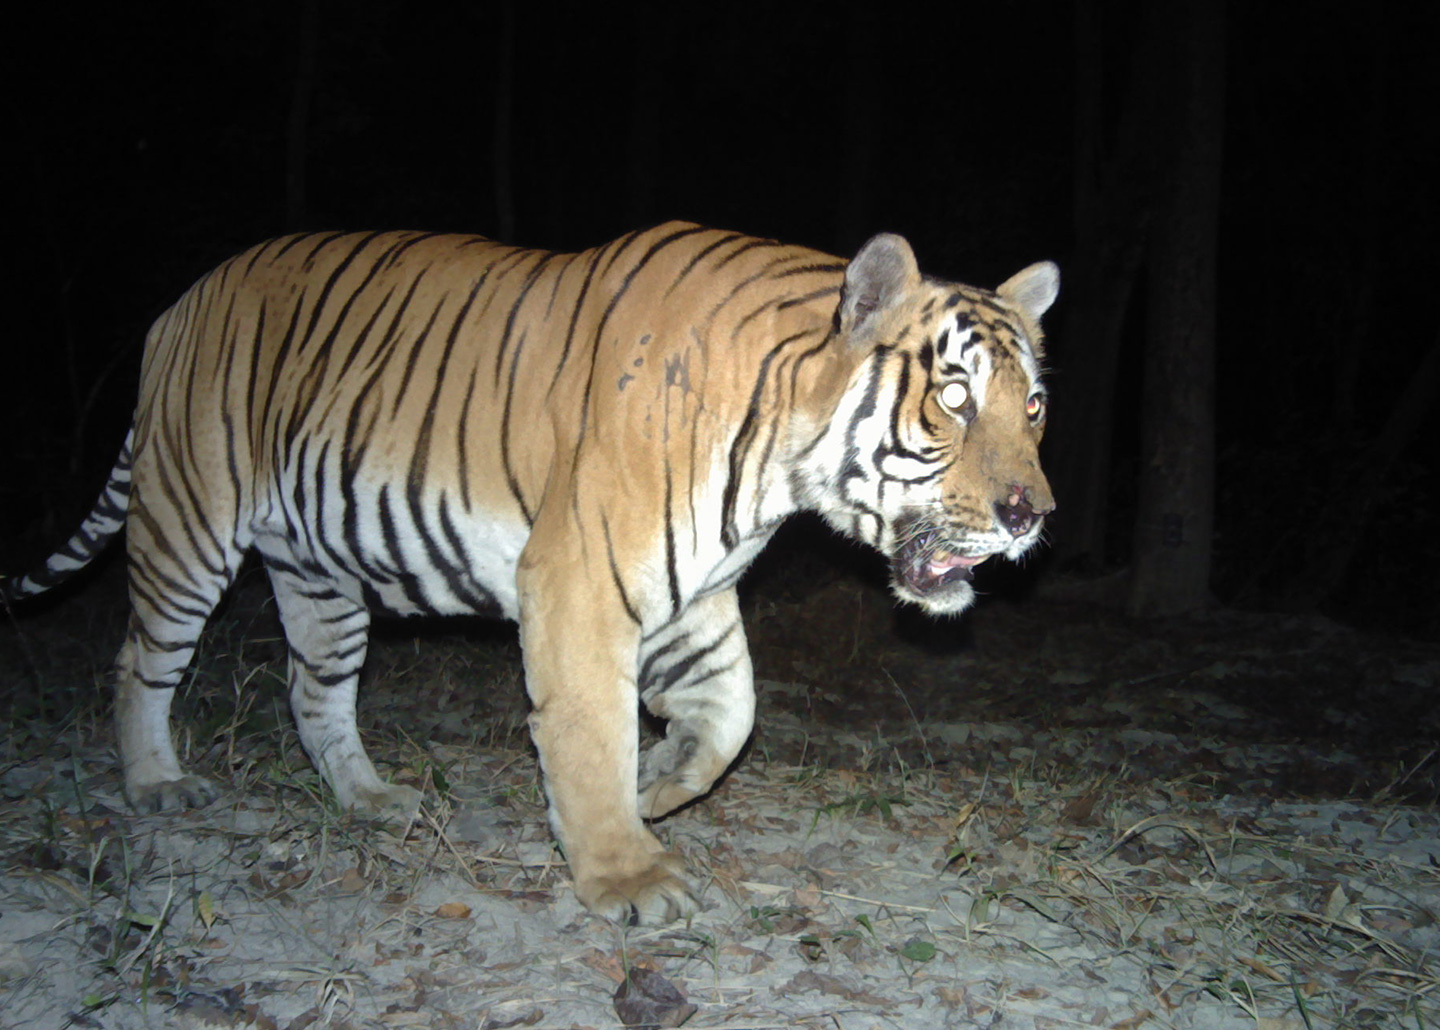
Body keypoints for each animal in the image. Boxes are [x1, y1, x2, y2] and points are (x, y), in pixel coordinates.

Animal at [2, 223, 1057, 924]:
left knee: (314, 692)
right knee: (139, 662)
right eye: (955, 400)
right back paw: (155, 783)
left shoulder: (694, 593)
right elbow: (590, 732)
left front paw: (657, 785)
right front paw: (626, 875)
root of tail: (177, 306)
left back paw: (370, 800)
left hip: (320, 577)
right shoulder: (580, 579)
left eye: (1035, 406)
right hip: (188, 526)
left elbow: (730, 718)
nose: (1032, 515)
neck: (775, 470)